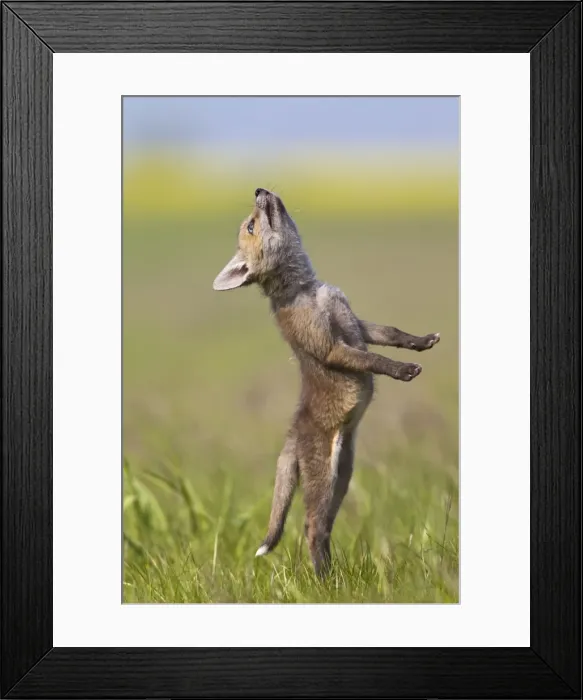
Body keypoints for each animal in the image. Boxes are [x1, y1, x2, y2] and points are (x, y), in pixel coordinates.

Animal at [213, 188, 440, 576]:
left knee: (324, 528)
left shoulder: (358, 324)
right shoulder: (331, 346)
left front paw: (422, 342)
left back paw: (334, 574)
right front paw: (403, 370)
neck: (310, 291)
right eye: (251, 225)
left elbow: (392, 333)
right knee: (310, 526)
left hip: (342, 478)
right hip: (323, 480)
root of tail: (292, 432)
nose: (259, 190)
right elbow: (372, 360)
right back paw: (325, 581)